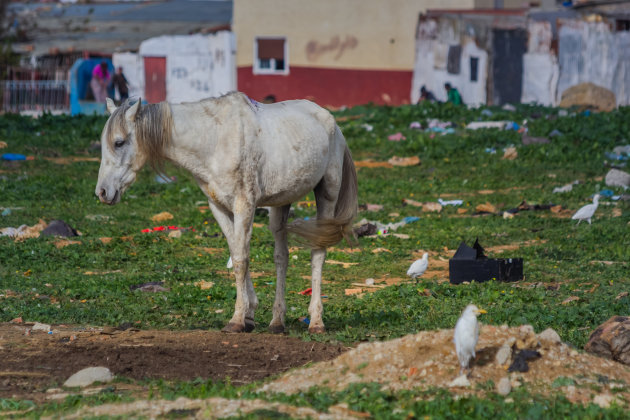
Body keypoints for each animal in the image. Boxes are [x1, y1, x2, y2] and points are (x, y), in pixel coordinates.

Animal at [95, 92, 358, 334]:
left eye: (119, 142)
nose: (102, 192)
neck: (213, 140)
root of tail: (332, 122)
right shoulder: (218, 207)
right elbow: (236, 253)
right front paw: (249, 315)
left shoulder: (244, 205)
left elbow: (241, 260)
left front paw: (237, 319)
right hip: (281, 204)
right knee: (281, 257)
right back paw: (277, 321)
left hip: (327, 195)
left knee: (318, 253)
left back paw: (316, 321)